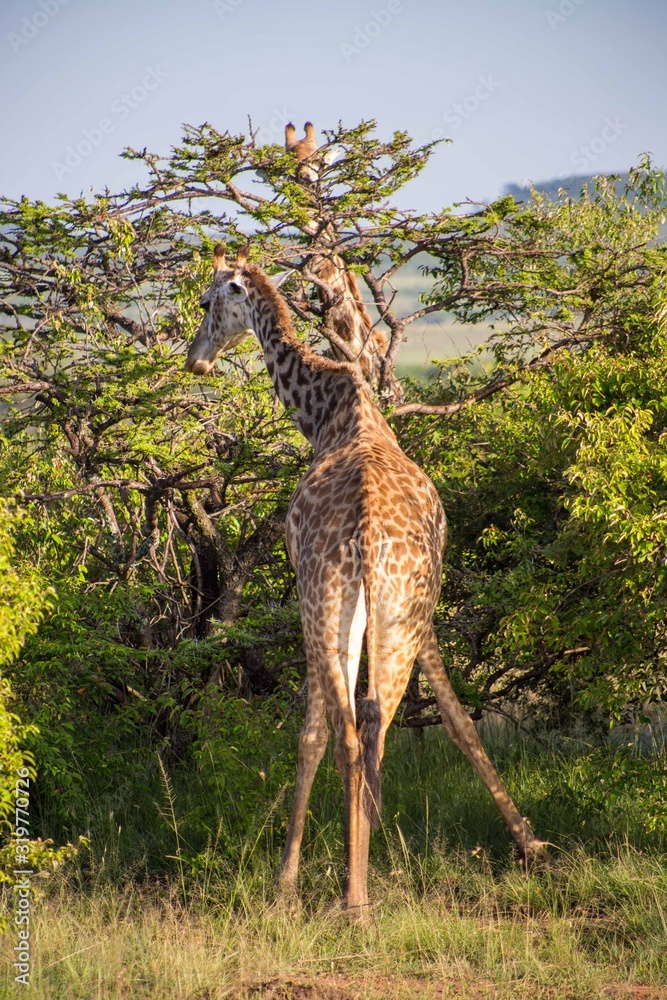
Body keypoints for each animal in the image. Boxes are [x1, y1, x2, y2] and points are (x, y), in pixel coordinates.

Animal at [185, 245, 545, 911]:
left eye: (206, 301)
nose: (195, 358)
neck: (329, 409)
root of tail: (371, 538)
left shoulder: (310, 600)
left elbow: (310, 736)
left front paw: (288, 877)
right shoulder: (425, 618)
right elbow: (459, 720)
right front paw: (529, 843)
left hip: (329, 607)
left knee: (347, 734)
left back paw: (353, 899)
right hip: (400, 613)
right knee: (376, 724)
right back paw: (366, 876)